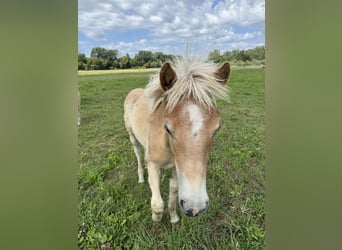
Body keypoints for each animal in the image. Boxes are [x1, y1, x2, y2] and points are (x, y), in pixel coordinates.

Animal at [124, 56, 231, 223]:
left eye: (217, 128)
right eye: (167, 128)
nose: (195, 208)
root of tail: (134, 91)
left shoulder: (177, 167)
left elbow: (174, 191)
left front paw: (173, 217)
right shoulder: (154, 164)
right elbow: (157, 203)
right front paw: (156, 219)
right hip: (132, 137)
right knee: (139, 156)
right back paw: (141, 177)